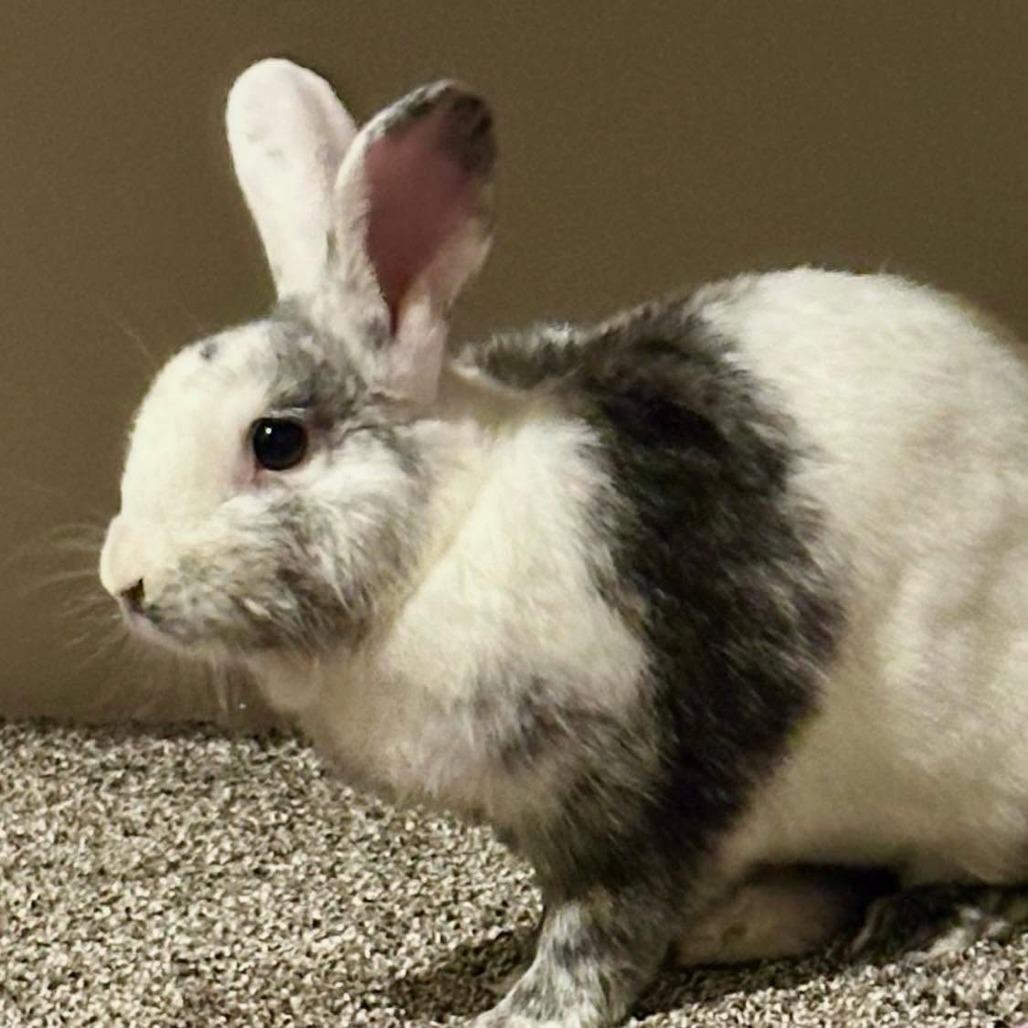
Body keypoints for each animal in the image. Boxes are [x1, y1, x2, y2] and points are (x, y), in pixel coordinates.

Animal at [98, 57, 1028, 1027]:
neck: (447, 533)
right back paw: (740, 925)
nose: (125, 580)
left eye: (277, 441)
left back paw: (930, 919)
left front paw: (527, 1011)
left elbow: (605, 927)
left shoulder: (647, 785)